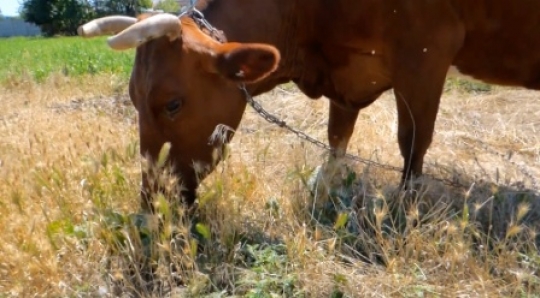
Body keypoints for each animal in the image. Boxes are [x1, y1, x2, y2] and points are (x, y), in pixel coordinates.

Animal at [78, 0, 540, 210]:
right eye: (132, 100)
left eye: (173, 104)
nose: (152, 202)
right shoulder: (347, 74)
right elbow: (338, 134)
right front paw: (326, 185)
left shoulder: (427, 51)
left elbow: (412, 141)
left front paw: (405, 206)